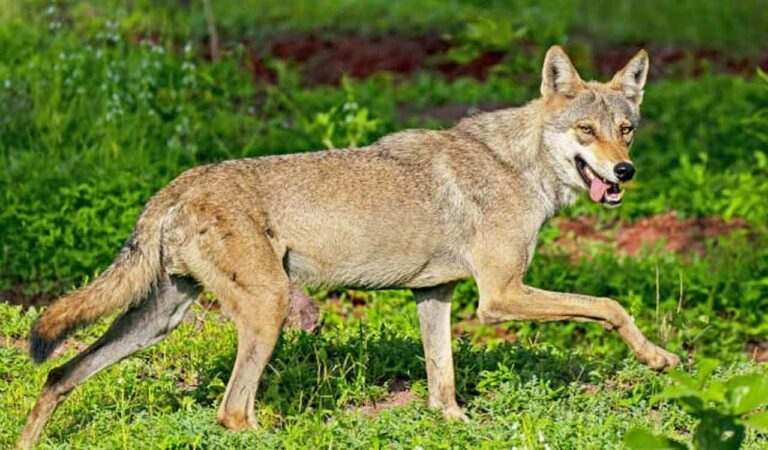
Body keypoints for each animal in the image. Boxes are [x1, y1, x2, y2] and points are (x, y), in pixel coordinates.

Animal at [17, 46, 679, 448]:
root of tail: (178, 183)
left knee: (59, 375)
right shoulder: (499, 297)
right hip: (267, 311)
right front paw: (659, 359)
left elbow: (443, 388)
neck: (517, 168)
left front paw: (459, 426)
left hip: (158, 322)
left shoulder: (435, 296)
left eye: (626, 129)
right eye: (586, 131)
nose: (624, 171)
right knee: (233, 413)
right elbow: (610, 307)